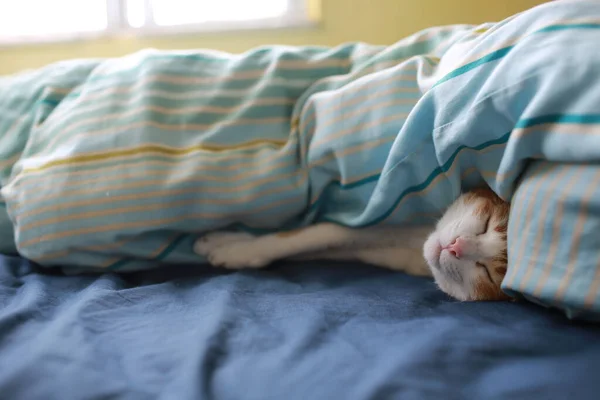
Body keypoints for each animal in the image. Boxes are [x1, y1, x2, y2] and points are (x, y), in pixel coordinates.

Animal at [196, 189, 510, 302]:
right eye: (486, 223)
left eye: (486, 273)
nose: (456, 247)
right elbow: (323, 233)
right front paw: (230, 243)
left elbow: (330, 247)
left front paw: (234, 251)